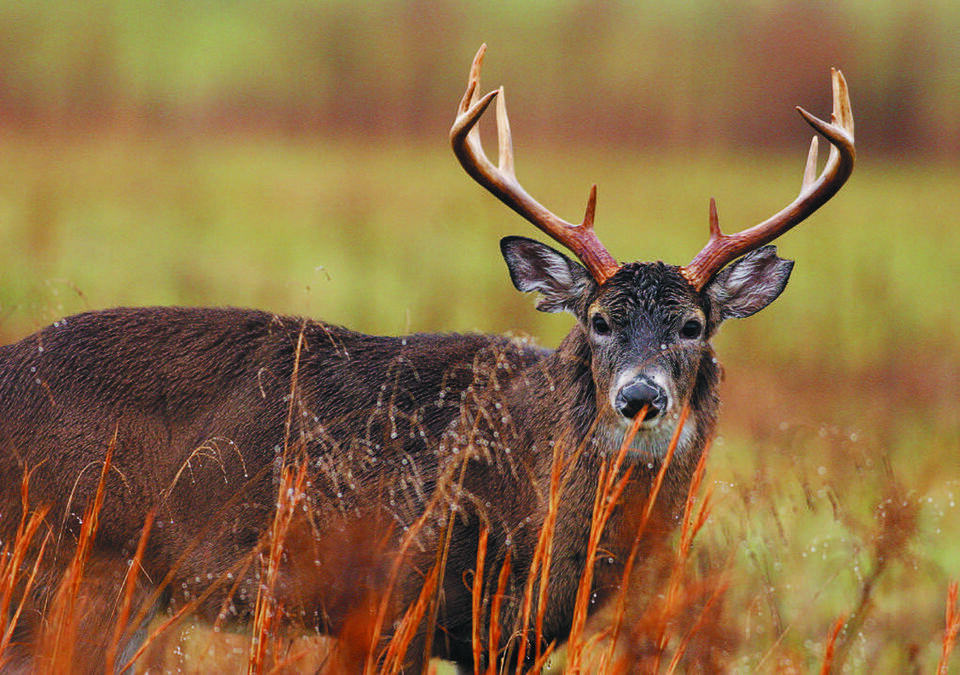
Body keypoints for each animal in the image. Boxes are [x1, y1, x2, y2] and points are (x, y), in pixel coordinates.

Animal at [0, 45, 853, 673]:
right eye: (599, 320)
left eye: (694, 325)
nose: (640, 396)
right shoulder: (396, 599)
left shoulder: (504, 640)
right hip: (56, 567)